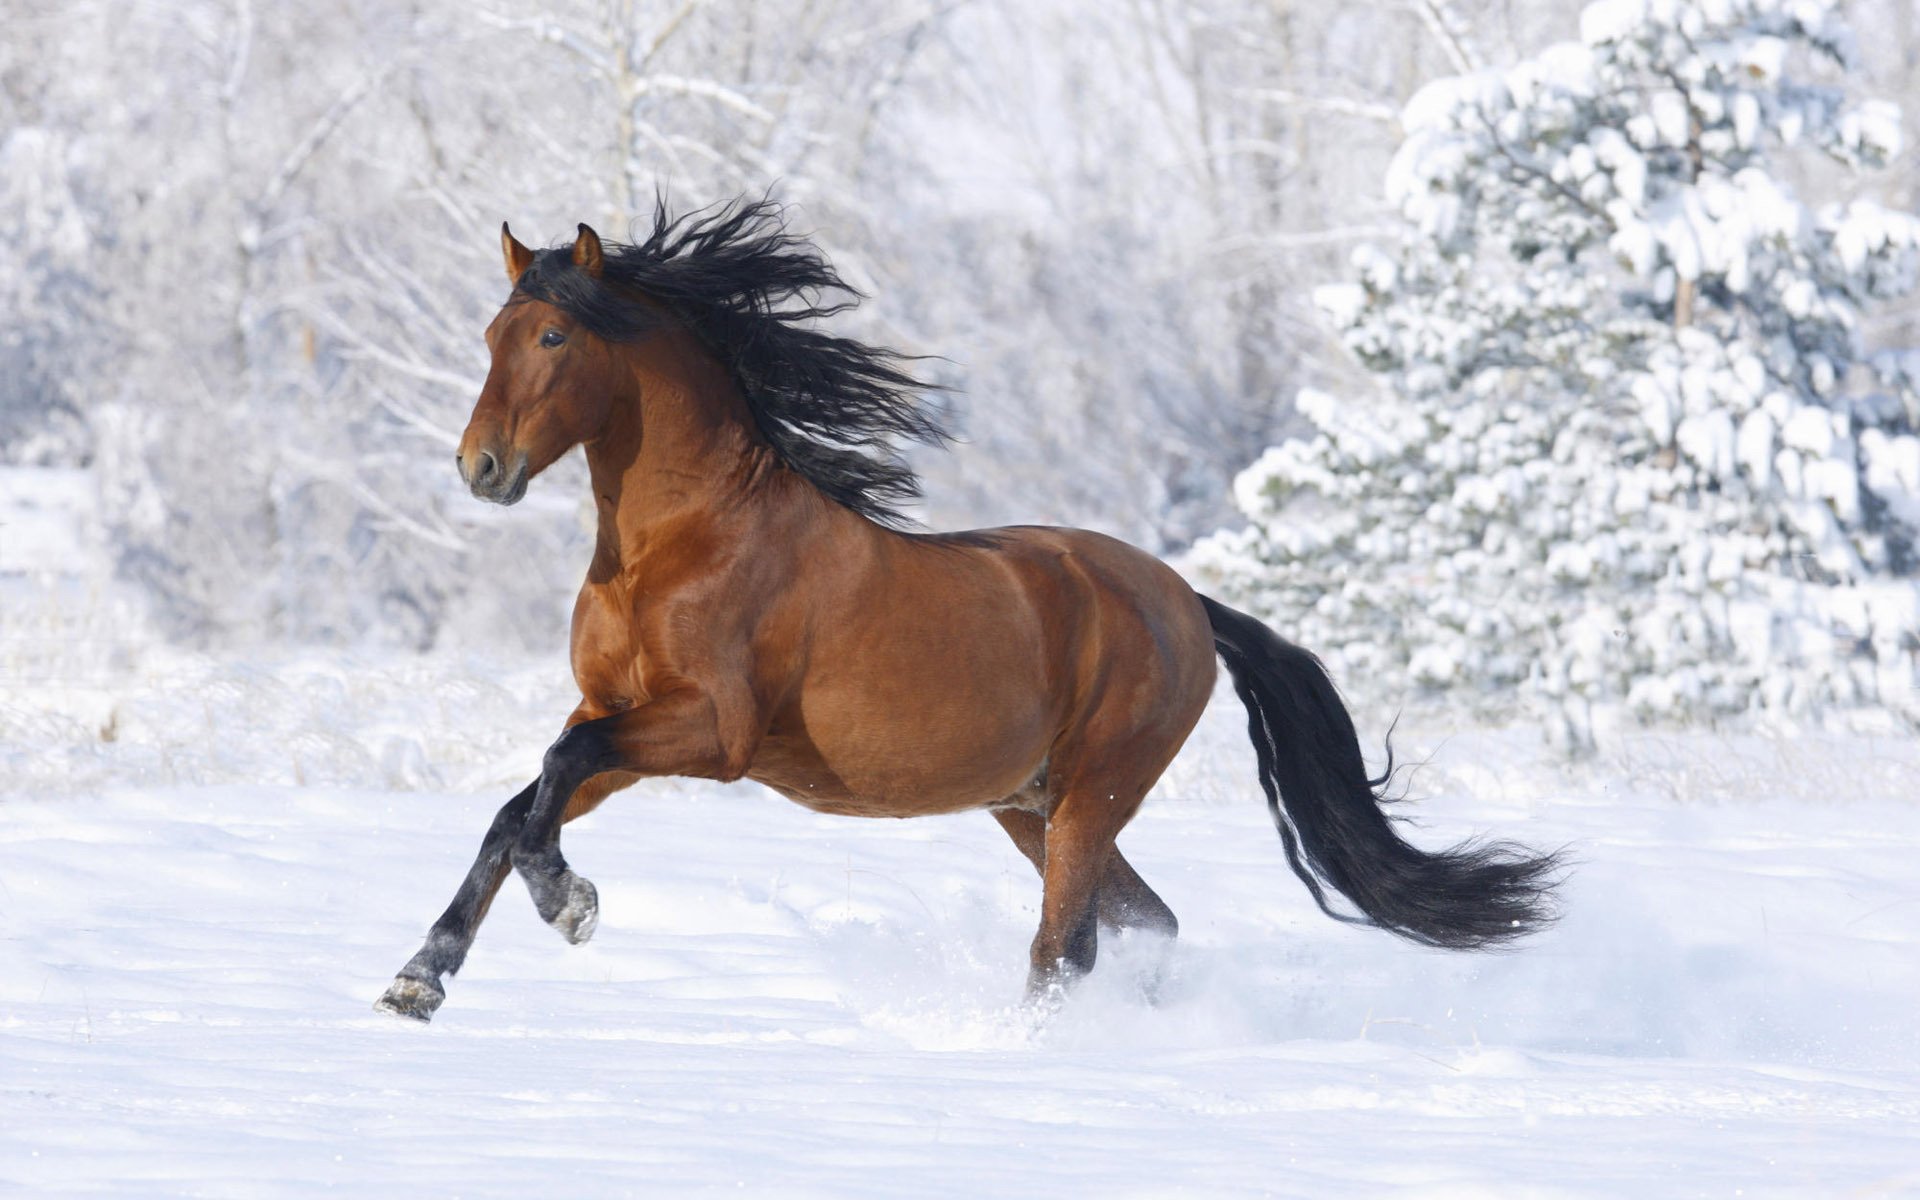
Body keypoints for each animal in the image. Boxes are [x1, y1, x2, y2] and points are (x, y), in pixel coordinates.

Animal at [375, 198, 1560, 1022]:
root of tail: (1183, 599)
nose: (481, 468)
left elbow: (548, 781)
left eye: (554, 341)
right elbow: (519, 805)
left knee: (1065, 946)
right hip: (1029, 806)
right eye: (491, 335)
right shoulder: (614, 716)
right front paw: (420, 978)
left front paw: (569, 905)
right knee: (1144, 922)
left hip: (1092, 795)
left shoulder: (709, 732)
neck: (683, 543)